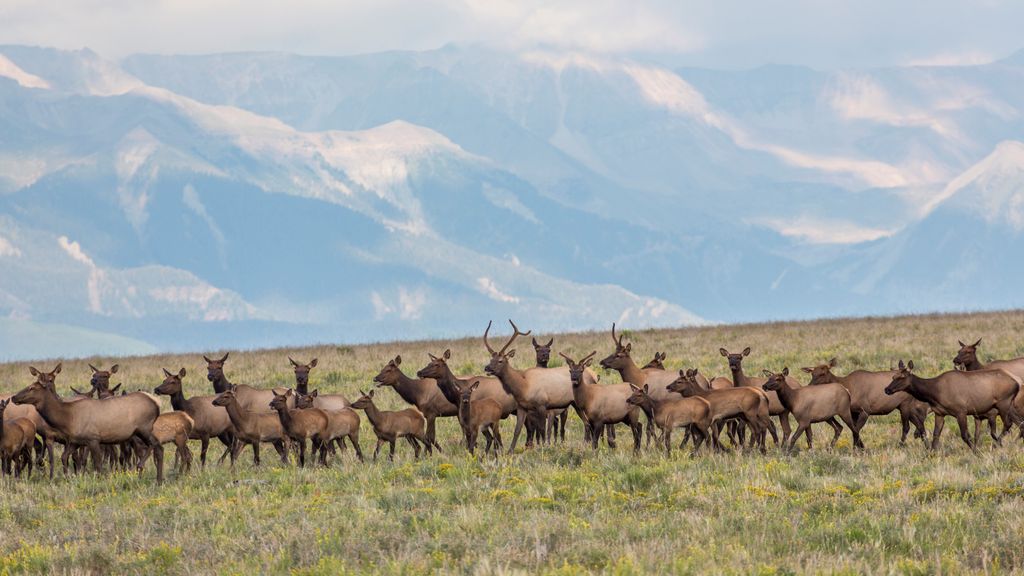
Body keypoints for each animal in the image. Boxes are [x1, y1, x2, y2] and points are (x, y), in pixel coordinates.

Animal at [9, 383, 164, 481]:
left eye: (32, 387)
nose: (14, 397)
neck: (68, 418)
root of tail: (157, 403)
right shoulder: (75, 441)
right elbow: (64, 457)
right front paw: (68, 478)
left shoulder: (93, 439)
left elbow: (98, 464)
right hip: (139, 432)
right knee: (157, 447)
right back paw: (158, 479)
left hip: (144, 428)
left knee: (156, 445)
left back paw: (143, 469)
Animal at [485, 315, 598, 450]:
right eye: (491, 359)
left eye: (500, 360)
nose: (487, 368)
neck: (523, 387)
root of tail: (595, 376)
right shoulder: (522, 407)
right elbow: (517, 431)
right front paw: (510, 451)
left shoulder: (542, 404)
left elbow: (542, 429)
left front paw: (544, 447)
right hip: (575, 404)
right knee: (587, 423)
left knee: (588, 422)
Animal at [802, 354, 933, 444]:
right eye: (812, 374)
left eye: (823, 373)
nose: (809, 386)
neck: (848, 387)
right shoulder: (853, 412)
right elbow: (854, 430)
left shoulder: (865, 410)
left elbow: (856, 430)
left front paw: (858, 449)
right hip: (904, 407)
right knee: (919, 425)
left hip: (904, 405)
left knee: (907, 427)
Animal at [880, 358, 1024, 448]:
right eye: (893, 376)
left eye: (902, 377)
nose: (887, 389)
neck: (934, 393)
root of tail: (1017, 382)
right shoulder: (939, 413)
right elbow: (936, 435)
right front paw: (930, 454)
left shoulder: (961, 411)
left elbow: (965, 436)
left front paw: (976, 451)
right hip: (1009, 405)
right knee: (1019, 423)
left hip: (1003, 403)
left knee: (1008, 424)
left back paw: (998, 443)